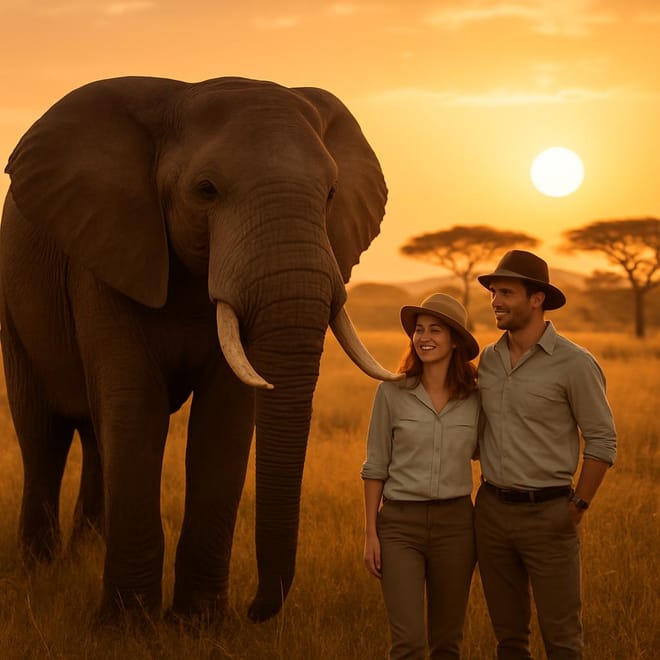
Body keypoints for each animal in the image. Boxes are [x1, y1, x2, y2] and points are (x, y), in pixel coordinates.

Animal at [0, 75, 399, 623]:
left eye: (332, 193)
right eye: (206, 190)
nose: (256, 610)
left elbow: (225, 418)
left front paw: (200, 625)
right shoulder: (105, 252)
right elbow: (136, 407)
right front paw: (129, 628)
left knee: (96, 436)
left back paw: (86, 555)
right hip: (13, 311)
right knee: (44, 434)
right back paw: (40, 574)